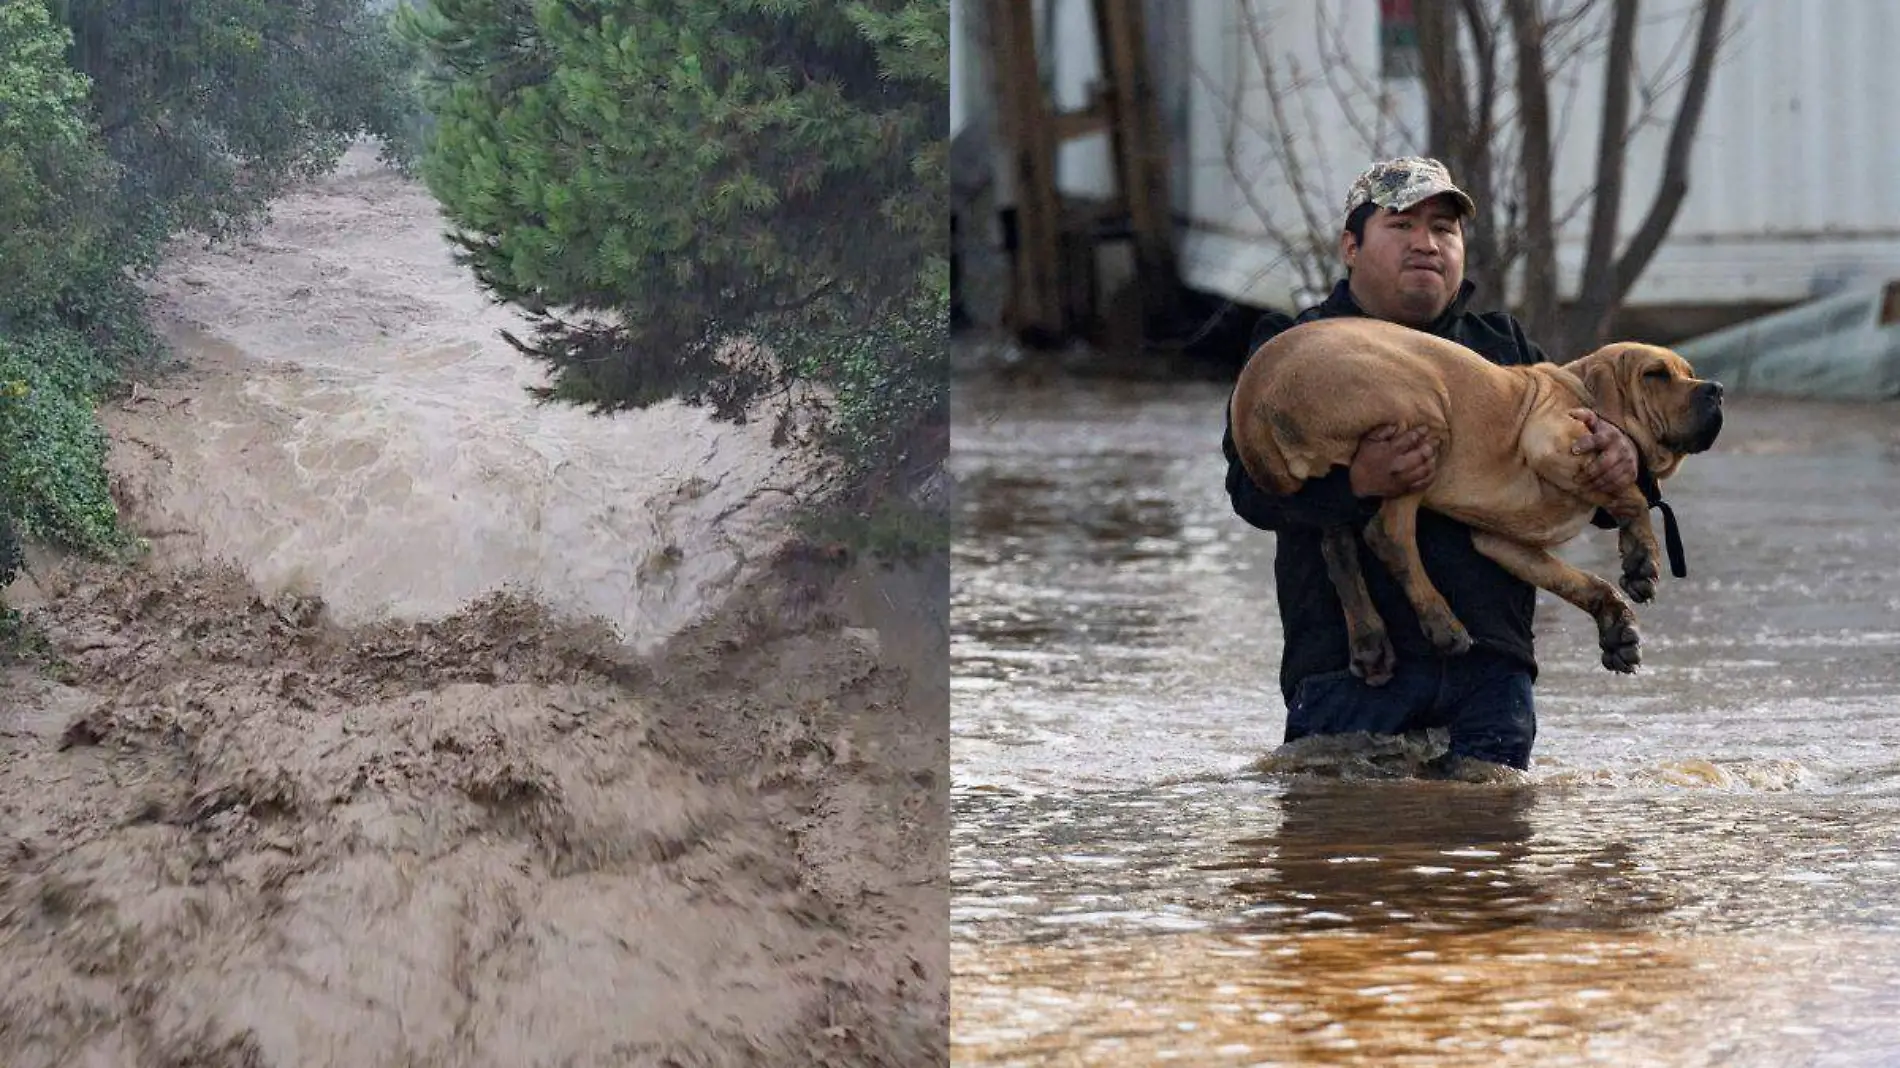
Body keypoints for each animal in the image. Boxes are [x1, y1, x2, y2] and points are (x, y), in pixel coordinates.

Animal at [1231, 313, 1725, 680]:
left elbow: (1581, 580)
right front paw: (1641, 559)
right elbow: (1632, 496)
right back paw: (1442, 625)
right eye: (1655, 375)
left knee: (1339, 552)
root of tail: (1253, 394)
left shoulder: (1505, 544)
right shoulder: (1551, 439)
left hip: (1343, 487)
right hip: (1425, 417)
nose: (1716, 390)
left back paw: (1370, 642)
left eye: (1690, 374)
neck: (1578, 387)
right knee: (1388, 536)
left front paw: (1616, 627)